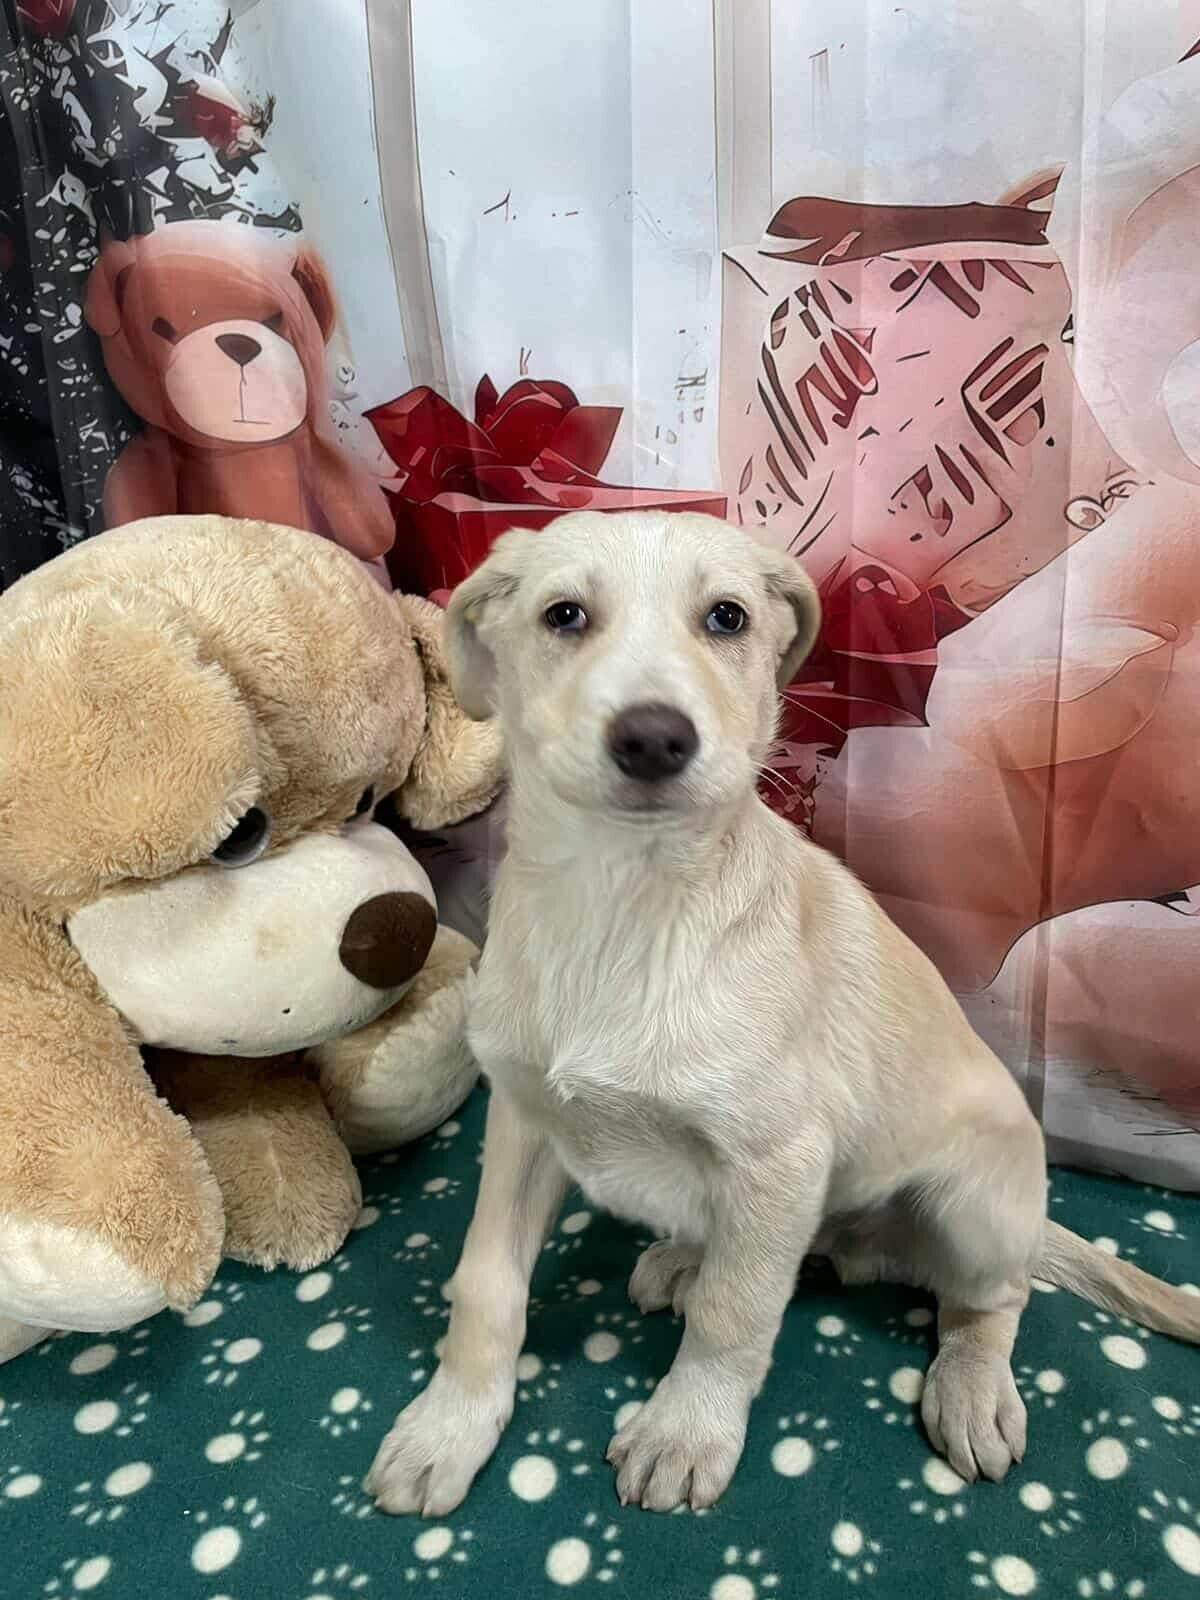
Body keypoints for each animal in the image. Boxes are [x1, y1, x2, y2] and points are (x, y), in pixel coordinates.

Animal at [366, 509, 1200, 1517]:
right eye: (564, 614)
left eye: (726, 617)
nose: (655, 739)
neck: (623, 902)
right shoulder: (524, 1123)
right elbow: (488, 1283)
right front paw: (448, 1427)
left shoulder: (779, 1157)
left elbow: (735, 1318)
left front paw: (686, 1430)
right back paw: (686, 1258)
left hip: (970, 1205)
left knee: (986, 1302)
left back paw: (971, 1391)